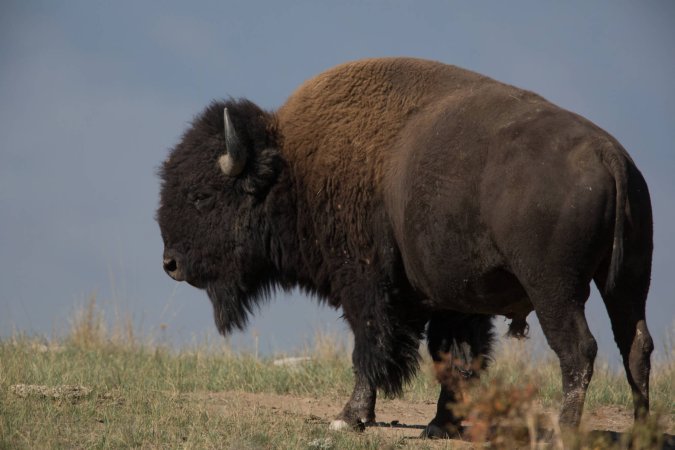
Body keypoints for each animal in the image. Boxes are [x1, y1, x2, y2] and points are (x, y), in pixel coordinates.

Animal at [158, 58, 656, 438]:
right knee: (636, 346)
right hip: (628, 283)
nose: (170, 263)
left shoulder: (367, 288)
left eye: (202, 195)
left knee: (579, 351)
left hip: (555, 289)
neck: (293, 168)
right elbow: (455, 358)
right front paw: (440, 426)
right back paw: (641, 429)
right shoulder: (456, 301)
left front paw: (349, 418)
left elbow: (370, 350)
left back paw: (563, 430)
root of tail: (610, 155)